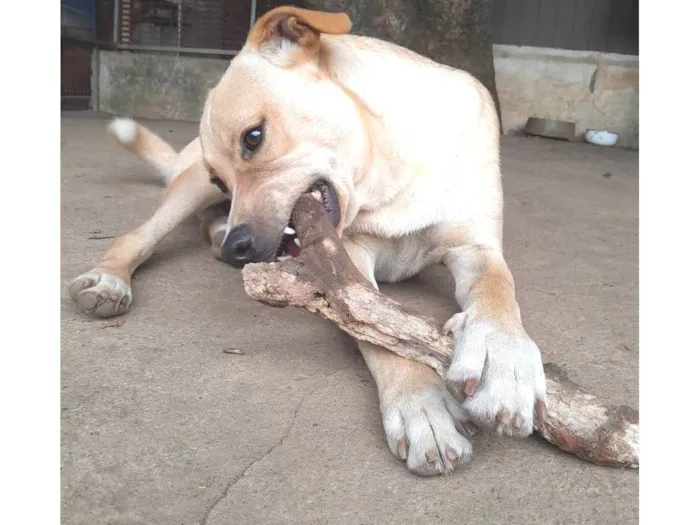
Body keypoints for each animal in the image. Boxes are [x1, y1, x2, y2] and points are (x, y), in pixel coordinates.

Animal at [71, 6, 548, 476]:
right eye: (222, 177)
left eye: (253, 137)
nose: (238, 250)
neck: (391, 171)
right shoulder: (349, 266)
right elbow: (382, 331)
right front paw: (422, 406)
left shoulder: (477, 246)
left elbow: (497, 291)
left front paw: (504, 358)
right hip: (190, 186)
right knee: (139, 235)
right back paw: (112, 279)